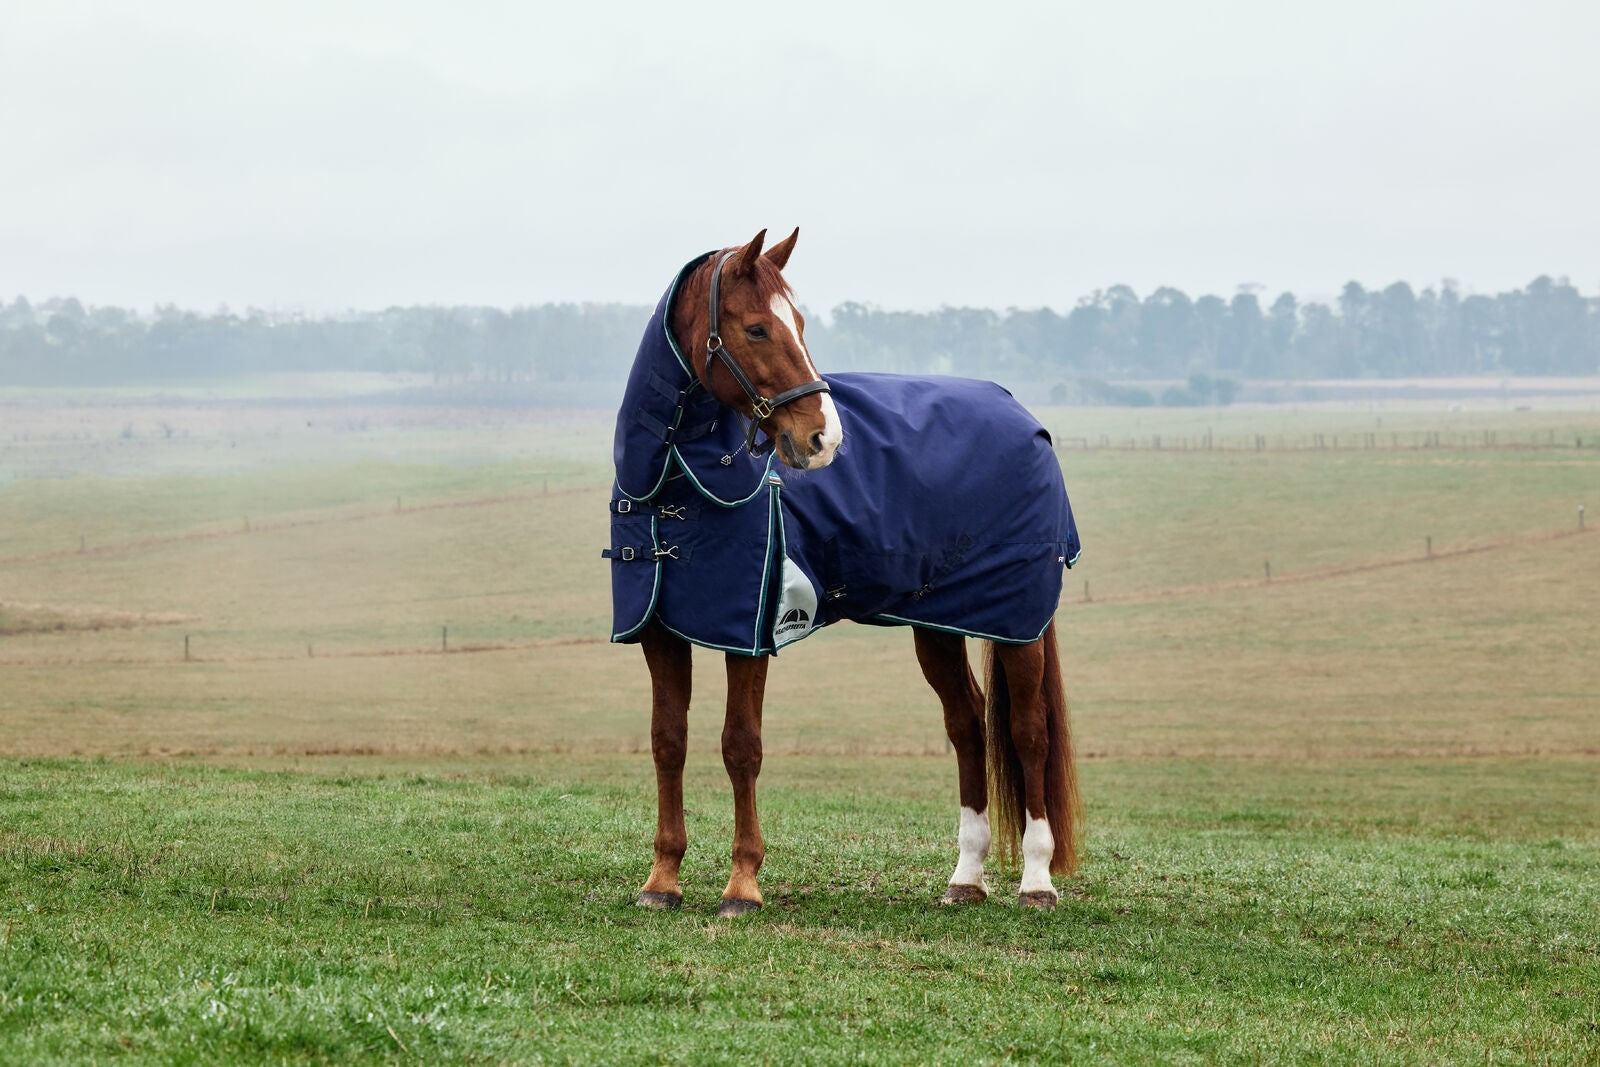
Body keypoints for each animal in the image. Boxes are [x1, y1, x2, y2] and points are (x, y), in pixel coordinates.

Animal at [605, 229, 1082, 916]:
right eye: (756, 328)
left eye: (799, 324)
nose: (822, 439)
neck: (675, 484)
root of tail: (1027, 422)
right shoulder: (661, 632)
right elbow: (668, 740)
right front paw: (662, 880)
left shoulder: (749, 635)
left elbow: (740, 746)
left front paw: (742, 885)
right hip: (937, 622)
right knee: (968, 724)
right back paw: (965, 877)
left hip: (1017, 622)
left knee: (1027, 730)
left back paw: (1037, 881)